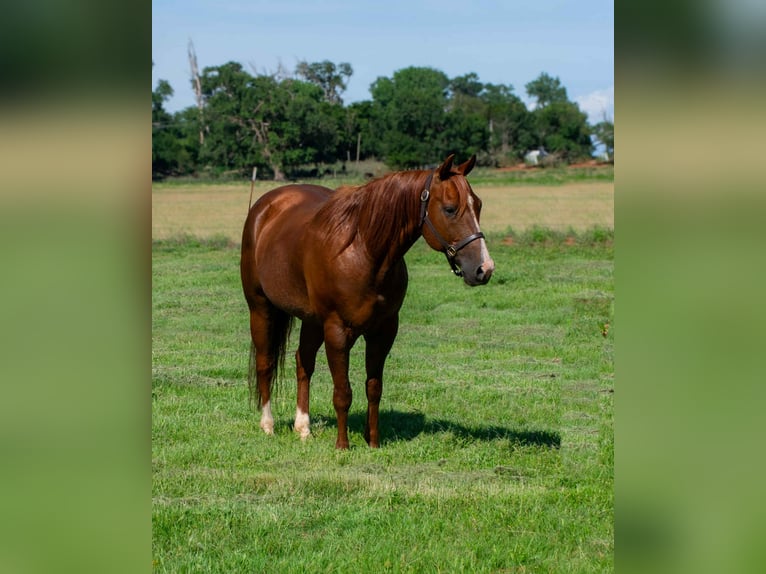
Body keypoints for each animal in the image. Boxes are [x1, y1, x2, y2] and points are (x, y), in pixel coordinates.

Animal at [240, 154, 494, 449]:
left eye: (478, 205)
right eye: (450, 209)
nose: (484, 269)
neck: (363, 249)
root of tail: (265, 207)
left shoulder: (383, 331)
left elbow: (374, 388)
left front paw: (373, 441)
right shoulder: (337, 332)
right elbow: (343, 392)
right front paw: (343, 445)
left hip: (311, 320)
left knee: (303, 362)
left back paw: (303, 428)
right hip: (261, 309)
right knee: (265, 362)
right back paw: (267, 425)